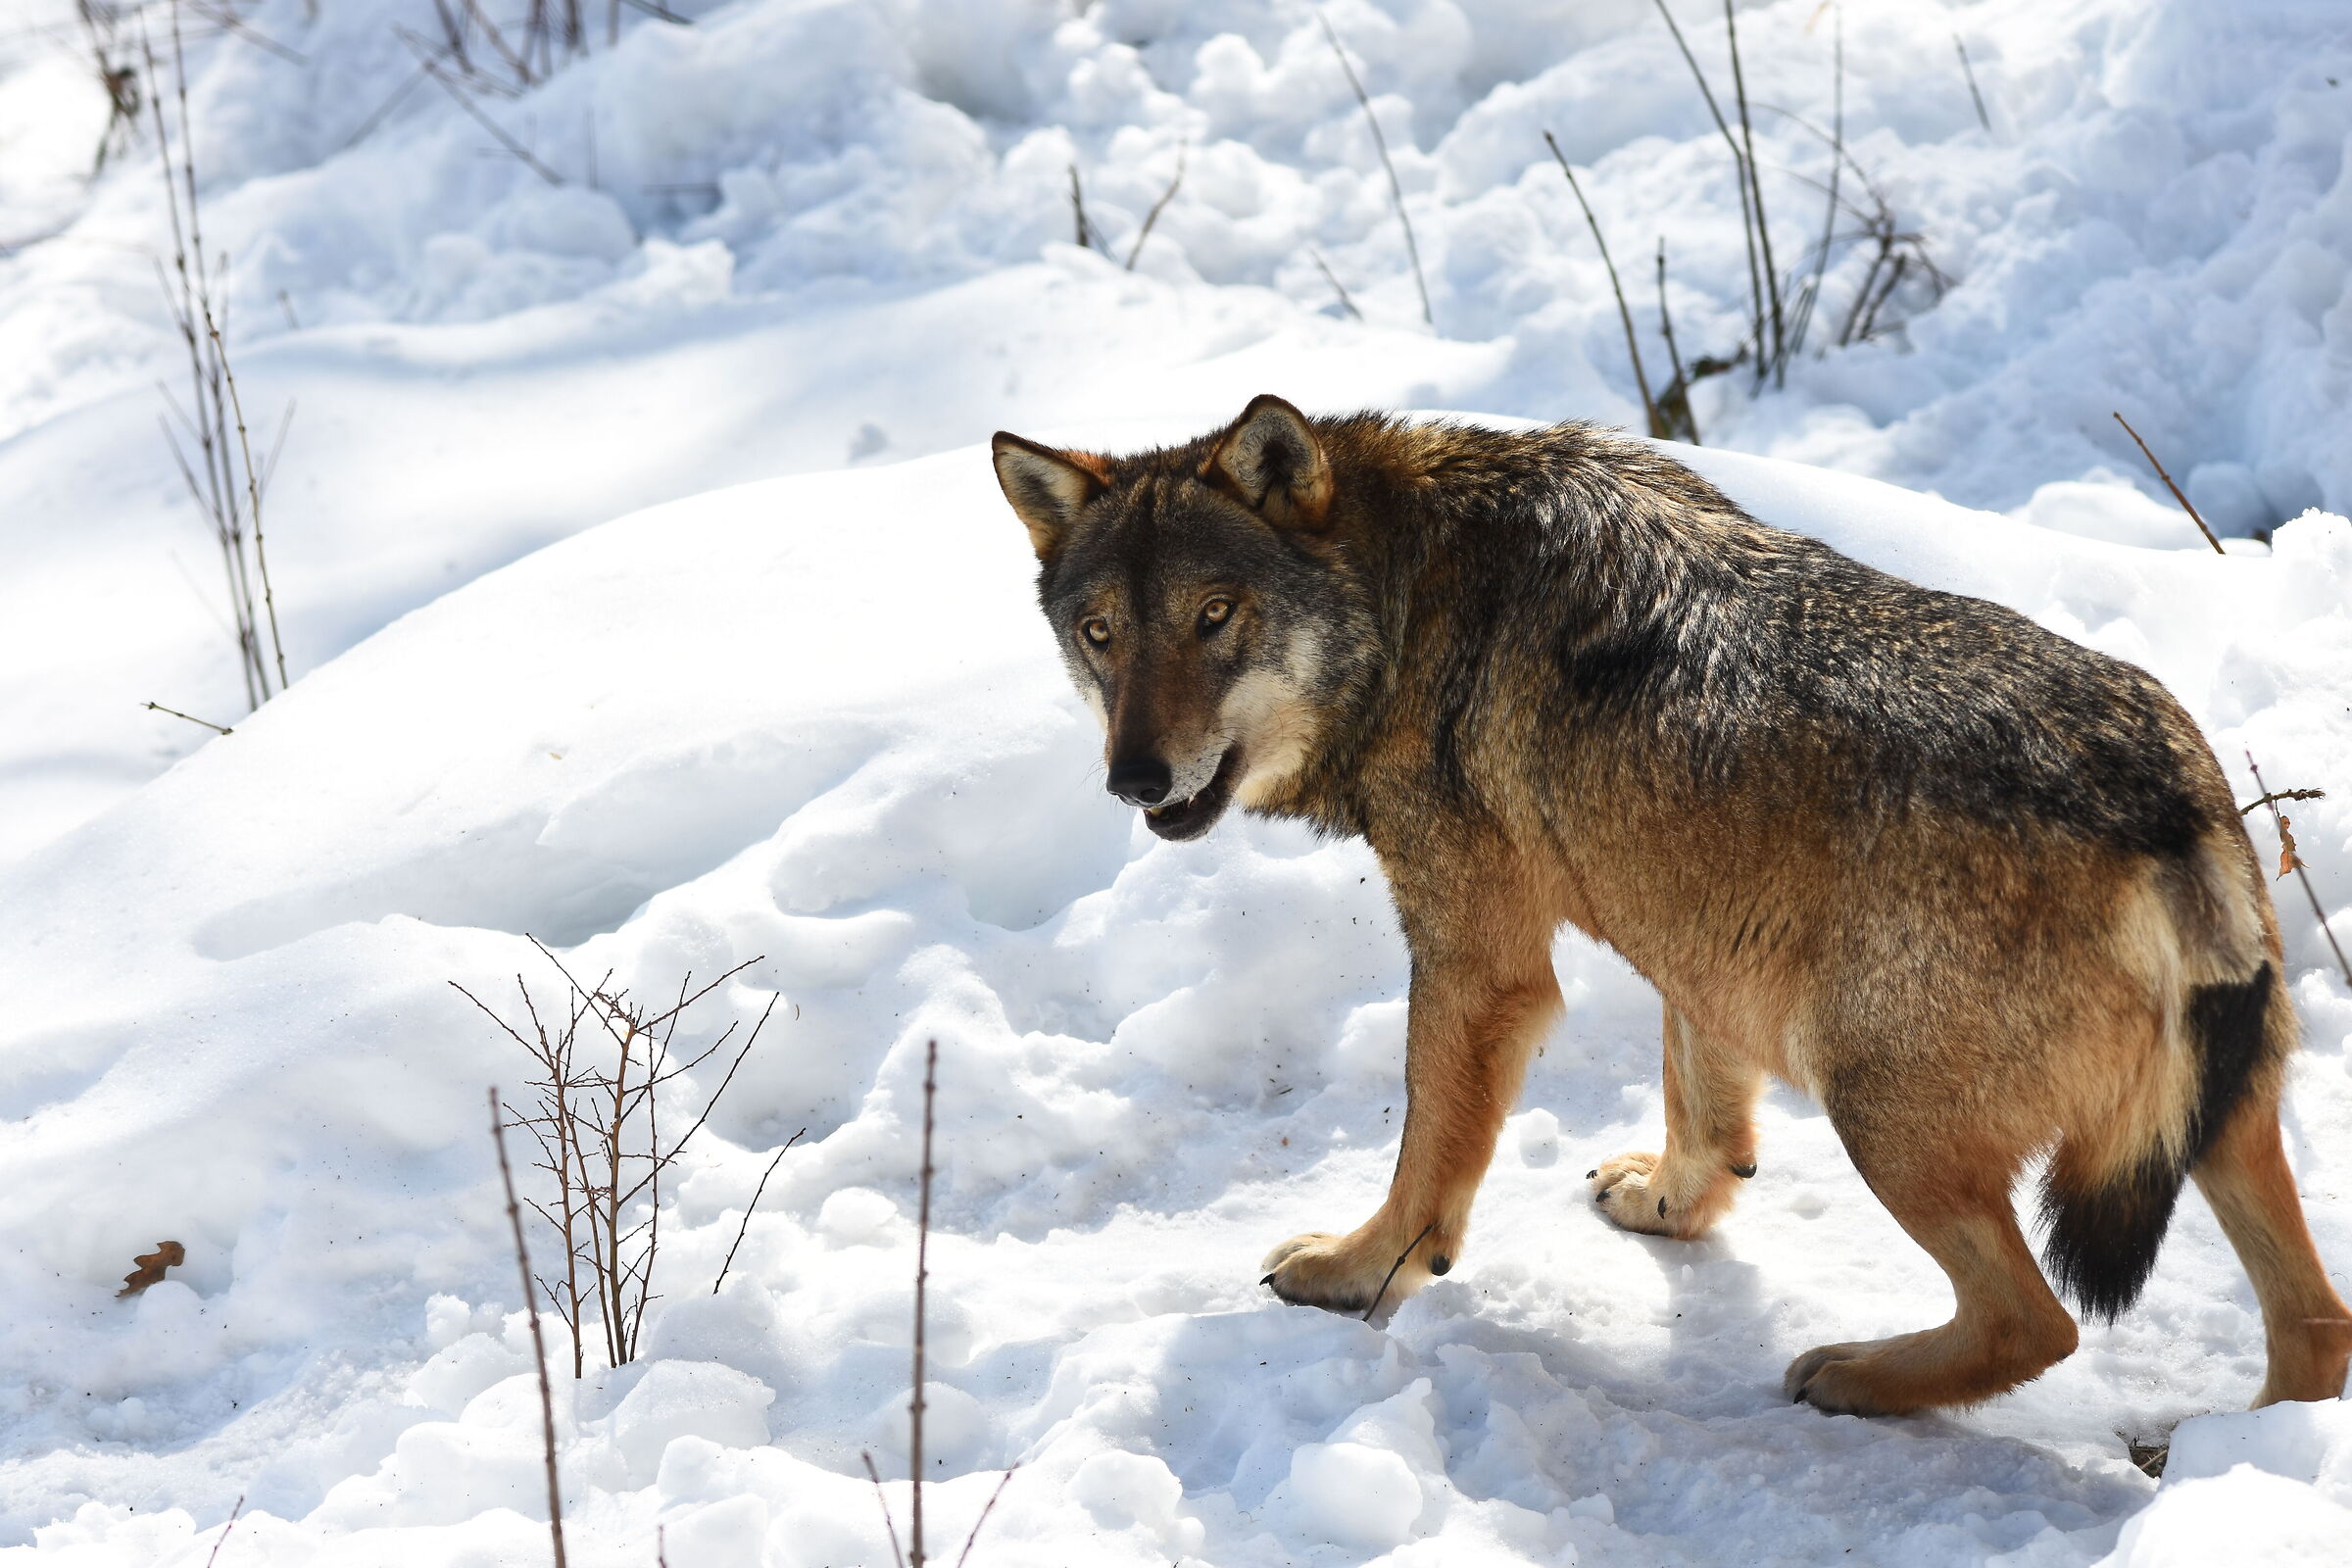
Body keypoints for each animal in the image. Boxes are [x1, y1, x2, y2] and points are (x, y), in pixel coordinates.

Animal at [989, 396, 2351, 1415]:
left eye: (1217, 617)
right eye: (1101, 634)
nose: (1133, 778)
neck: (1410, 596)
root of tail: (2163, 800)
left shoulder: (1482, 967)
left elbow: (1427, 1163)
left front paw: (1355, 1271)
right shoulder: (1698, 937)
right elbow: (1703, 1103)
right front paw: (1668, 1204)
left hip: (1878, 1111)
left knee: (2042, 1325)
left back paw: (1856, 1377)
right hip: (2221, 1123)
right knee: (2317, 1328)